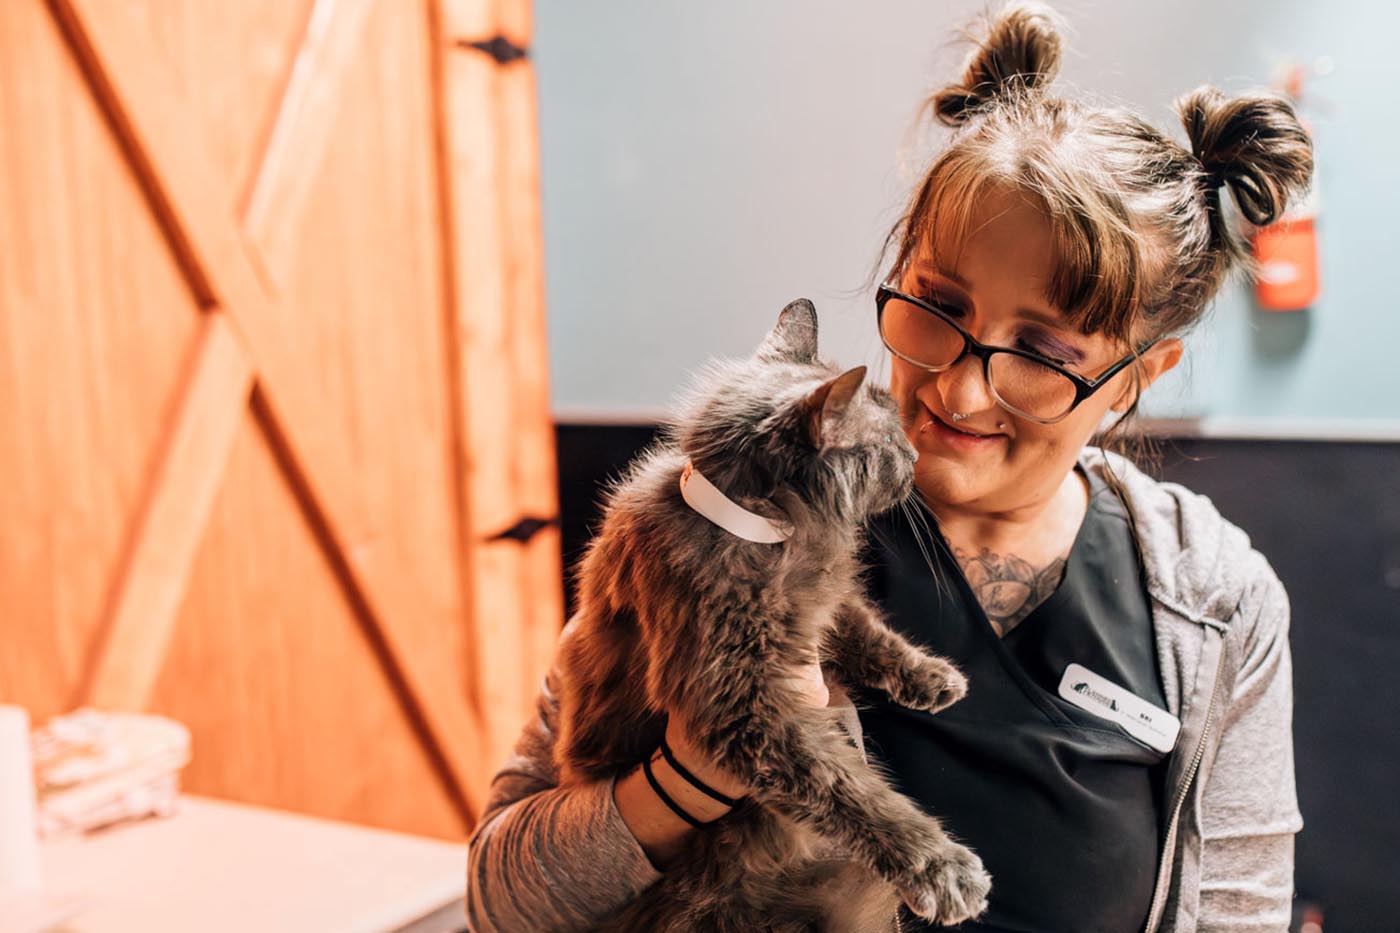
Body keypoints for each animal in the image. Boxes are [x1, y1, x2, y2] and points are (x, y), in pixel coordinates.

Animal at [551, 301, 991, 924]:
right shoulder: (743, 707)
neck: (771, 532)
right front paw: (940, 867)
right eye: (891, 444)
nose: (916, 457)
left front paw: (929, 677)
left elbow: (864, 628)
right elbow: (848, 788)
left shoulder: (820, 603)